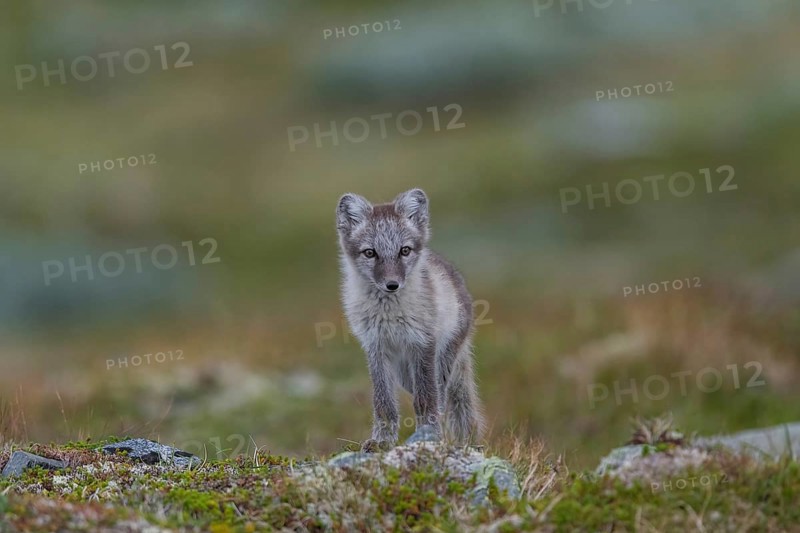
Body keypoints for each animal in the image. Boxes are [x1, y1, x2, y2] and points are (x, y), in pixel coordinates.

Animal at [336, 188, 485, 452]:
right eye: (370, 253)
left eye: (404, 250)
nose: (392, 284)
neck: (389, 314)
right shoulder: (375, 347)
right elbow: (383, 403)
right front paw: (382, 441)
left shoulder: (422, 343)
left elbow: (426, 399)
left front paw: (428, 436)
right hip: (403, 373)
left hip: (442, 359)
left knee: (441, 394)